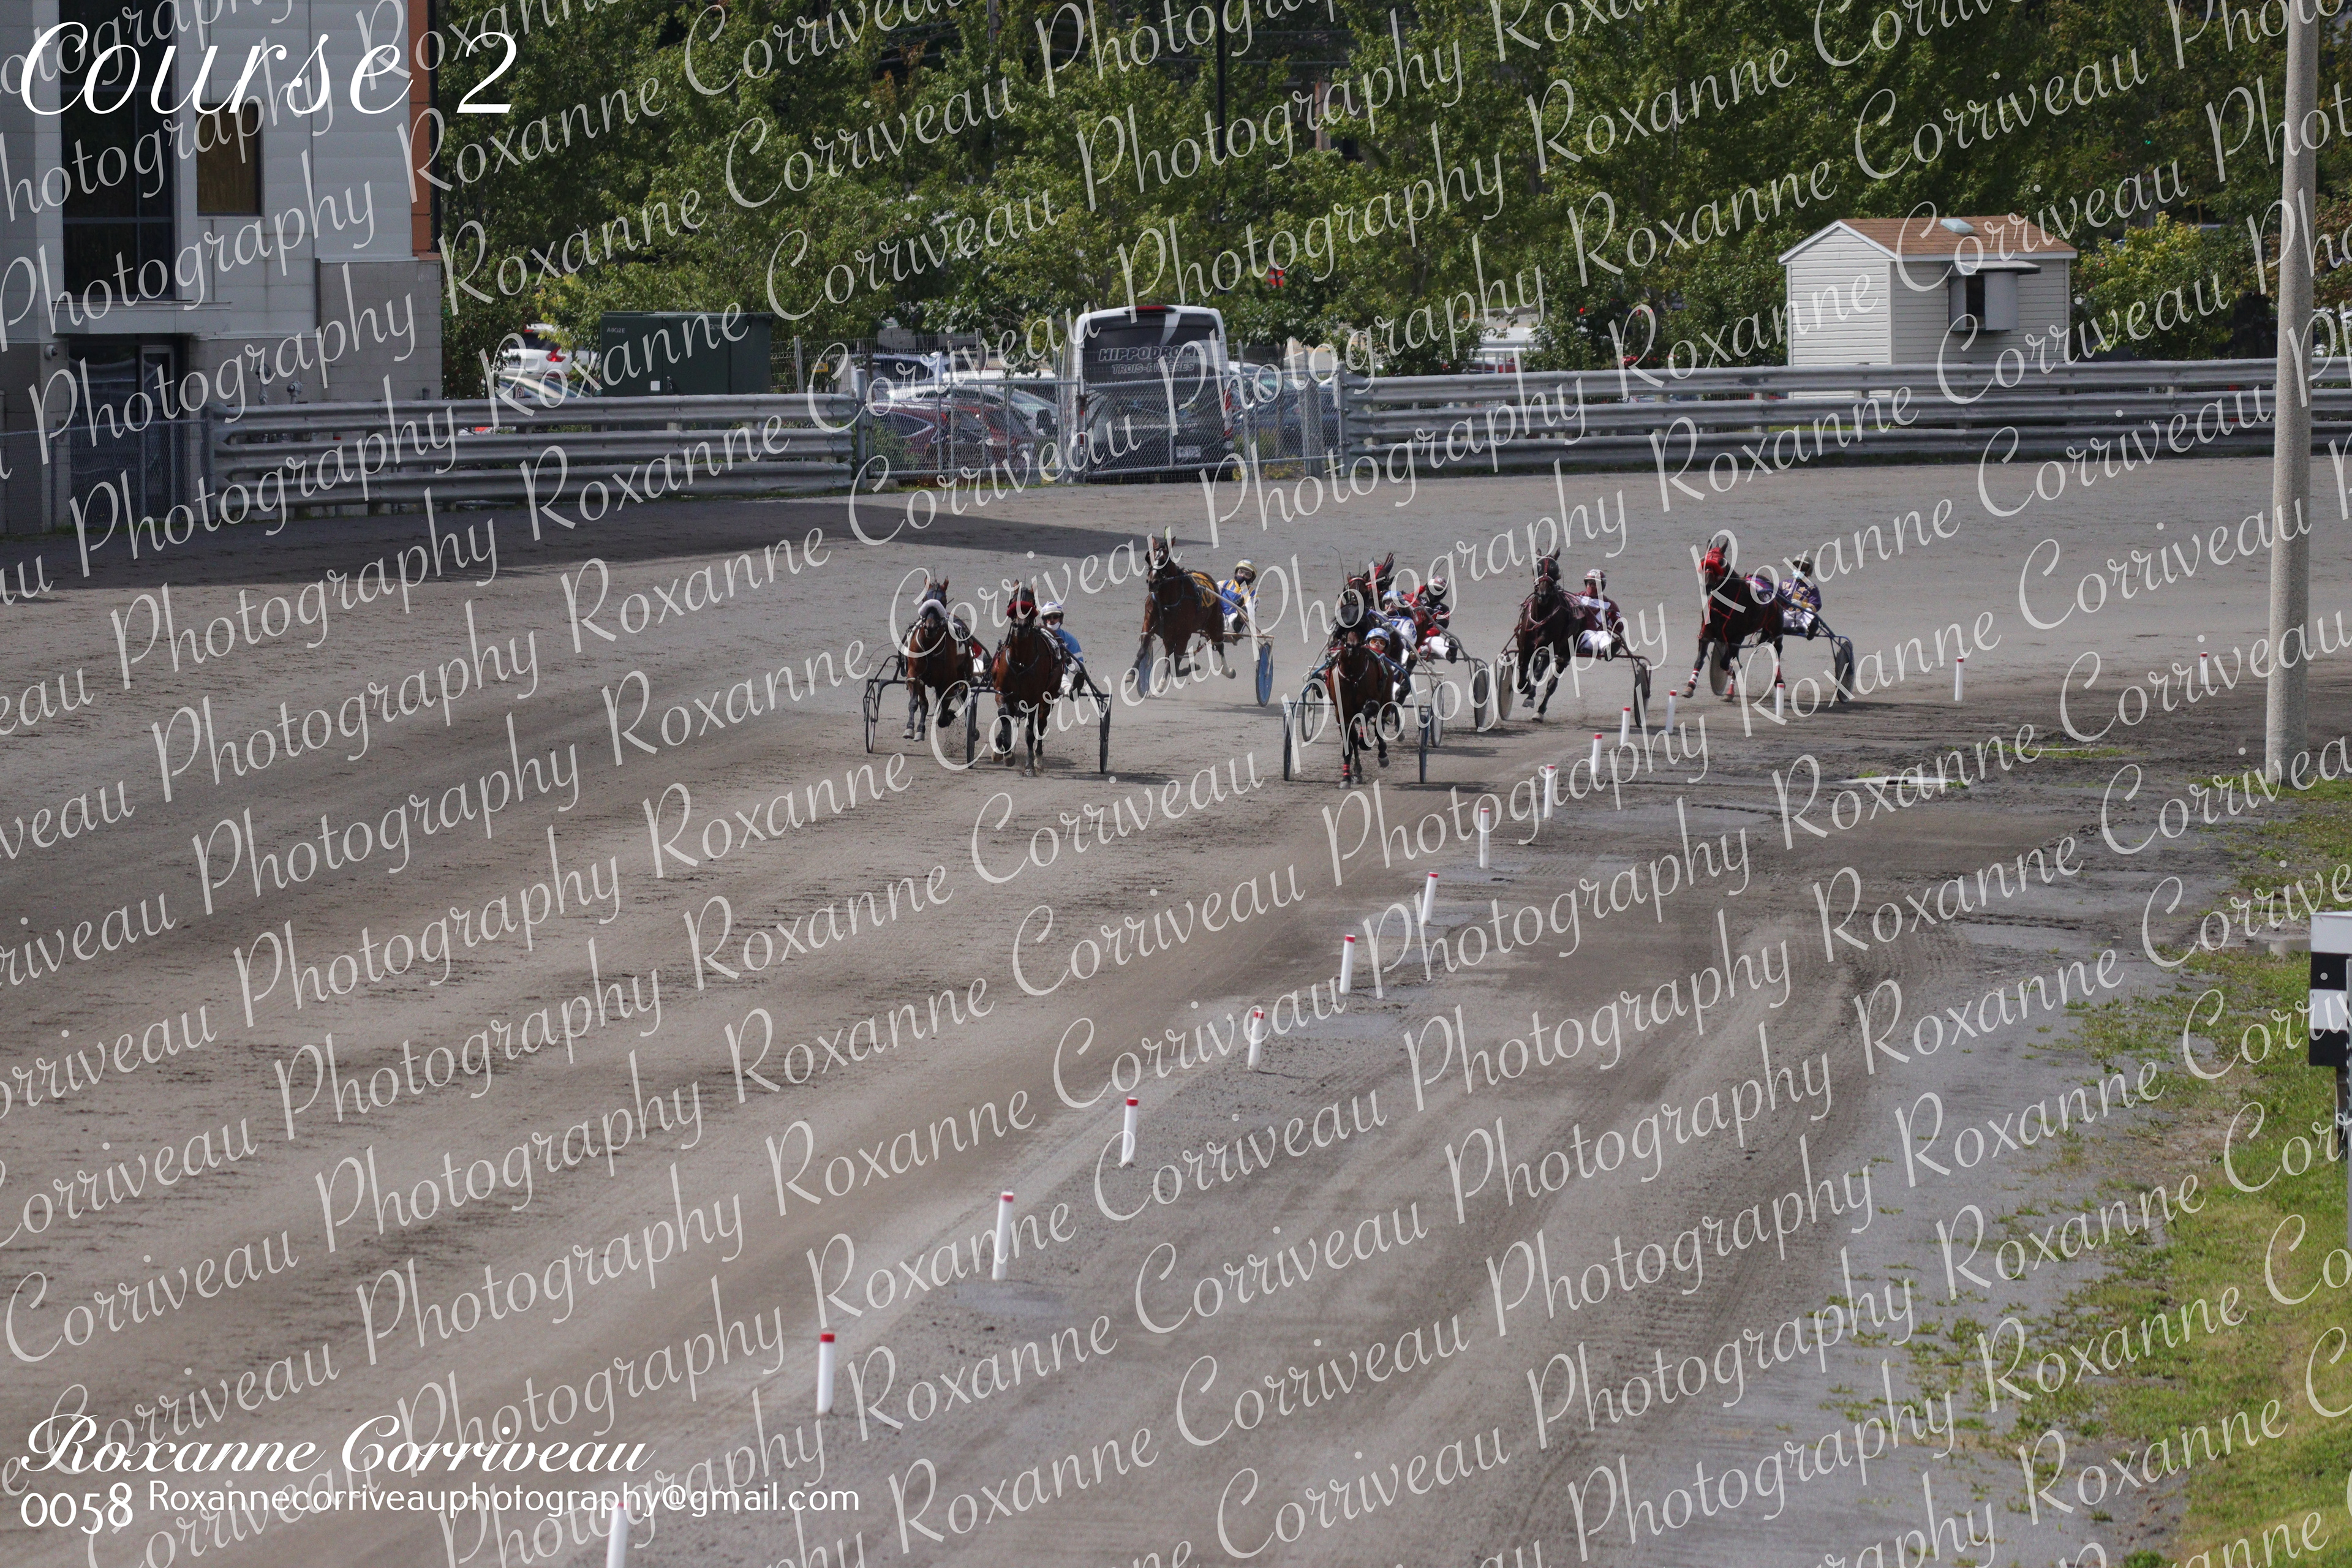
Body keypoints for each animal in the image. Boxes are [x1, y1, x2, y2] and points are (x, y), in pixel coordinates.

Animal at [991, 619, 1066, 774]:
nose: (1020, 626)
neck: (1020, 661)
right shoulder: (1002, 692)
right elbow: (1004, 715)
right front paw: (1003, 751)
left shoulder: (1034, 700)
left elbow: (1030, 732)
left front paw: (1030, 765)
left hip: (1048, 697)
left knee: (1042, 723)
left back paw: (1039, 758)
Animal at [1137, 531, 1237, 683]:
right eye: (1148, 557)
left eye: (1165, 559)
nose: (1152, 582)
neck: (1167, 602)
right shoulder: (1150, 623)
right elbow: (1143, 649)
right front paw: (1131, 675)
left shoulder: (1183, 634)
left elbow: (1175, 662)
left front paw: (1162, 684)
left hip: (1214, 622)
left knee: (1219, 644)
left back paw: (1228, 671)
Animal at [1683, 537, 1783, 699]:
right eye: (1705, 561)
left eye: (1720, 562)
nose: (1707, 586)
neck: (1724, 604)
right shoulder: (1707, 633)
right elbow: (1699, 660)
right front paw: (1690, 686)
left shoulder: (1736, 637)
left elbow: (1725, 663)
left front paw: (1731, 671)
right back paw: (1730, 692)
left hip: (1776, 629)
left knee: (1778, 650)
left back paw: (1779, 680)